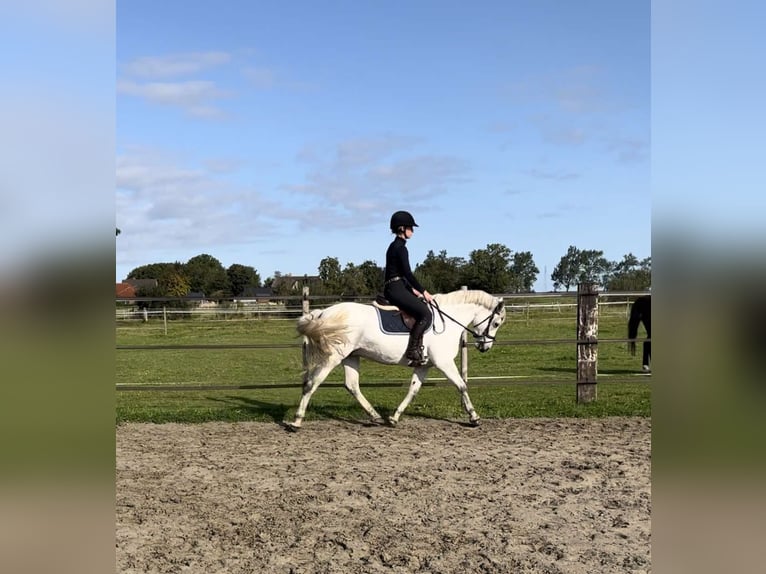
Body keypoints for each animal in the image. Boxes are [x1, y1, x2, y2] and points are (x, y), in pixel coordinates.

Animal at [284, 292, 508, 432]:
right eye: (496, 323)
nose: (485, 347)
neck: (447, 321)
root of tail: (323, 313)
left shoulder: (424, 365)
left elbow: (413, 390)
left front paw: (394, 418)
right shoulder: (444, 363)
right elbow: (461, 385)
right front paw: (474, 418)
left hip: (351, 356)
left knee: (352, 385)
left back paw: (375, 416)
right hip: (333, 356)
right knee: (312, 383)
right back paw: (296, 421)